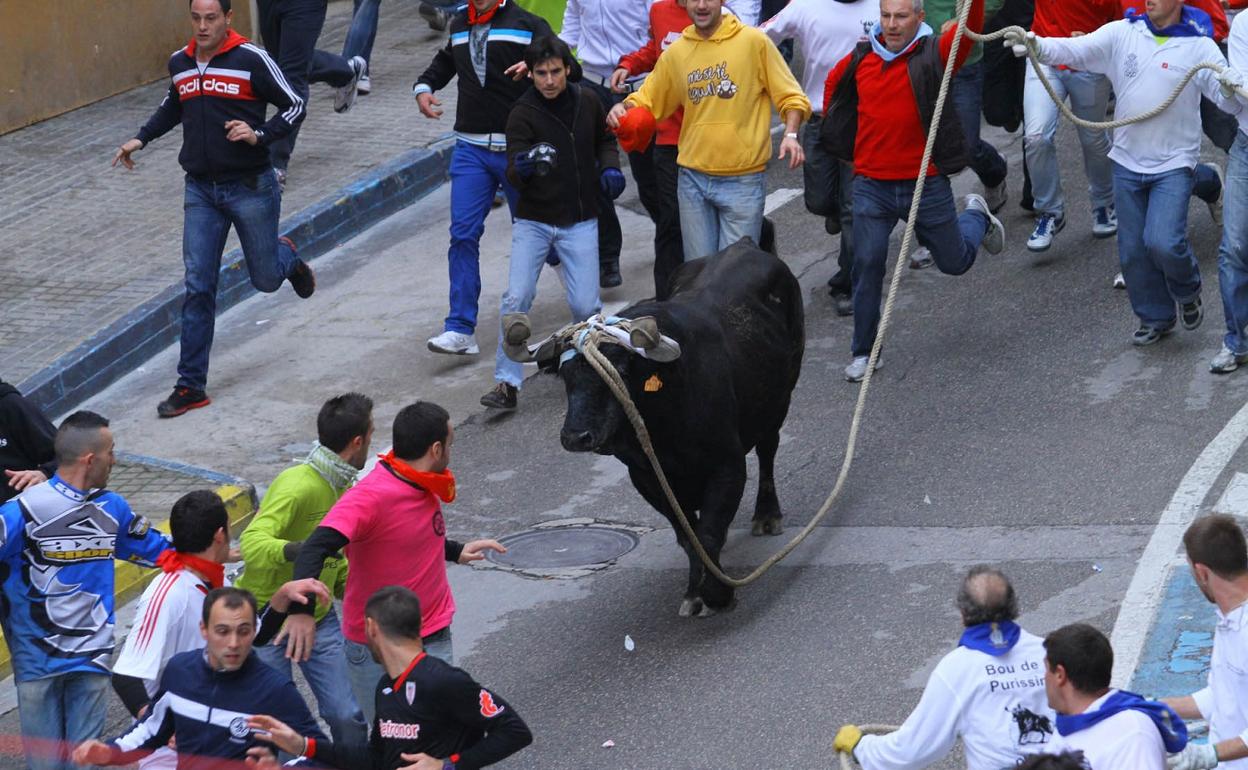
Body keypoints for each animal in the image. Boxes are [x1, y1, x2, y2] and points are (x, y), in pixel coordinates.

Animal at [551, 237, 803, 616]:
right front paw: (695, 592)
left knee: (768, 451)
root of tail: (743, 244)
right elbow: (689, 536)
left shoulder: (727, 466)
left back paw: (767, 515)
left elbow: (709, 531)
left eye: (619, 370)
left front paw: (718, 593)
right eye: (567, 376)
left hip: (779, 399)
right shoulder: (648, 479)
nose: (575, 437)